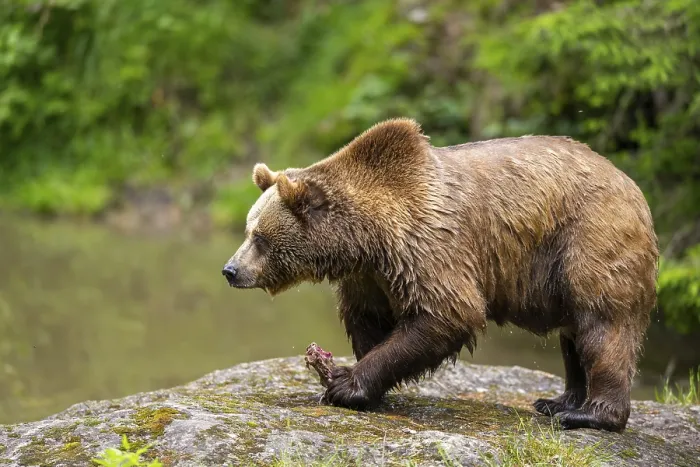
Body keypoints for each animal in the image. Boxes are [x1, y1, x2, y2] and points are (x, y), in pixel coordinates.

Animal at [221, 118, 658, 433]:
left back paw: (589, 415)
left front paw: (345, 384)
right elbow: (367, 319)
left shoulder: (427, 245)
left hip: (588, 239)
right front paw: (361, 384)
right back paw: (557, 401)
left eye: (259, 238)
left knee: (602, 326)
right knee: (574, 336)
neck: (365, 238)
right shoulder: (370, 275)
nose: (230, 270)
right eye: (247, 229)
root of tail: (631, 184)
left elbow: (447, 313)